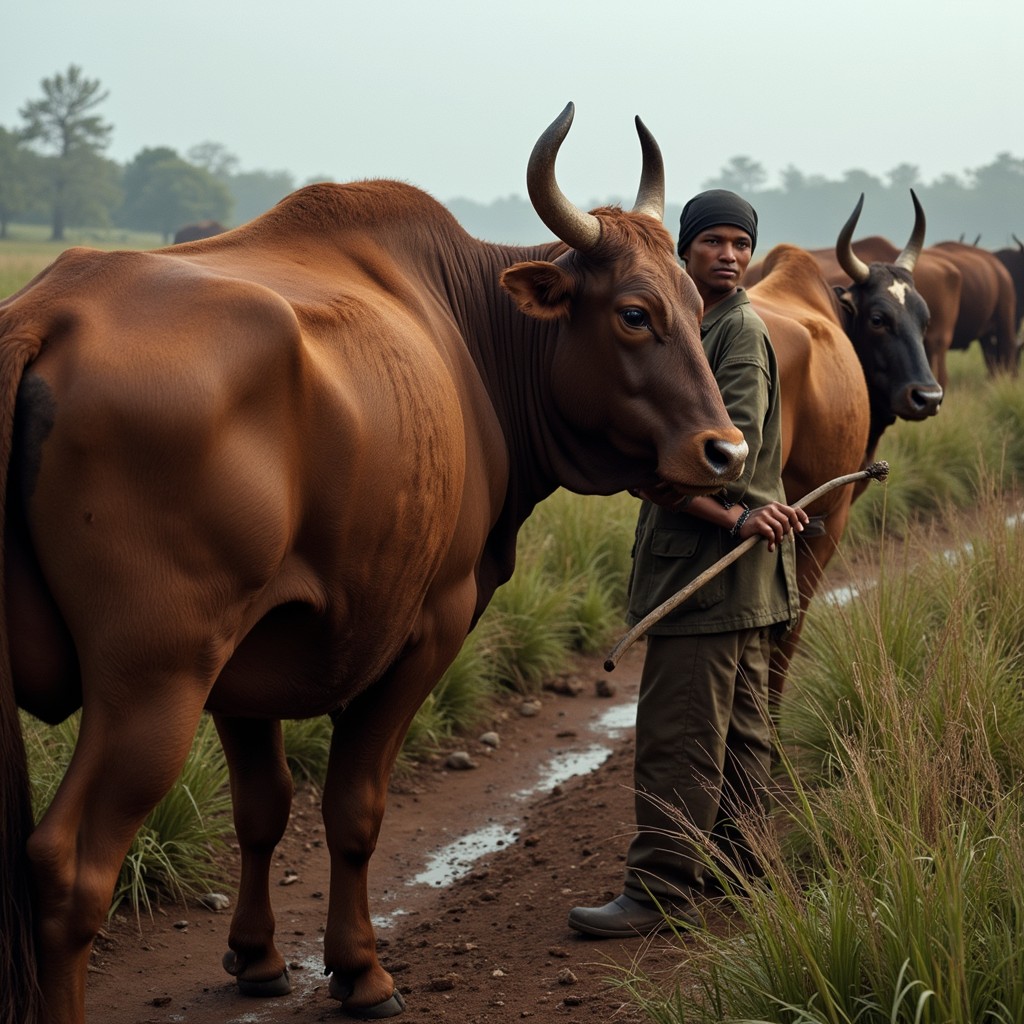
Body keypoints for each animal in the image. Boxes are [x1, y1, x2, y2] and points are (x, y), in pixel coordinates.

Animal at [0, 103, 747, 1024]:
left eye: (697, 299)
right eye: (636, 314)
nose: (726, 450)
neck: (470, 333)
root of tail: (52, 311)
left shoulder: (243, 664)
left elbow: (265, 806)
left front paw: (258, 957)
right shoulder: (432, 624)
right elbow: (354, 807)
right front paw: (361, 970)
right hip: (153, 682)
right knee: (71, 866)